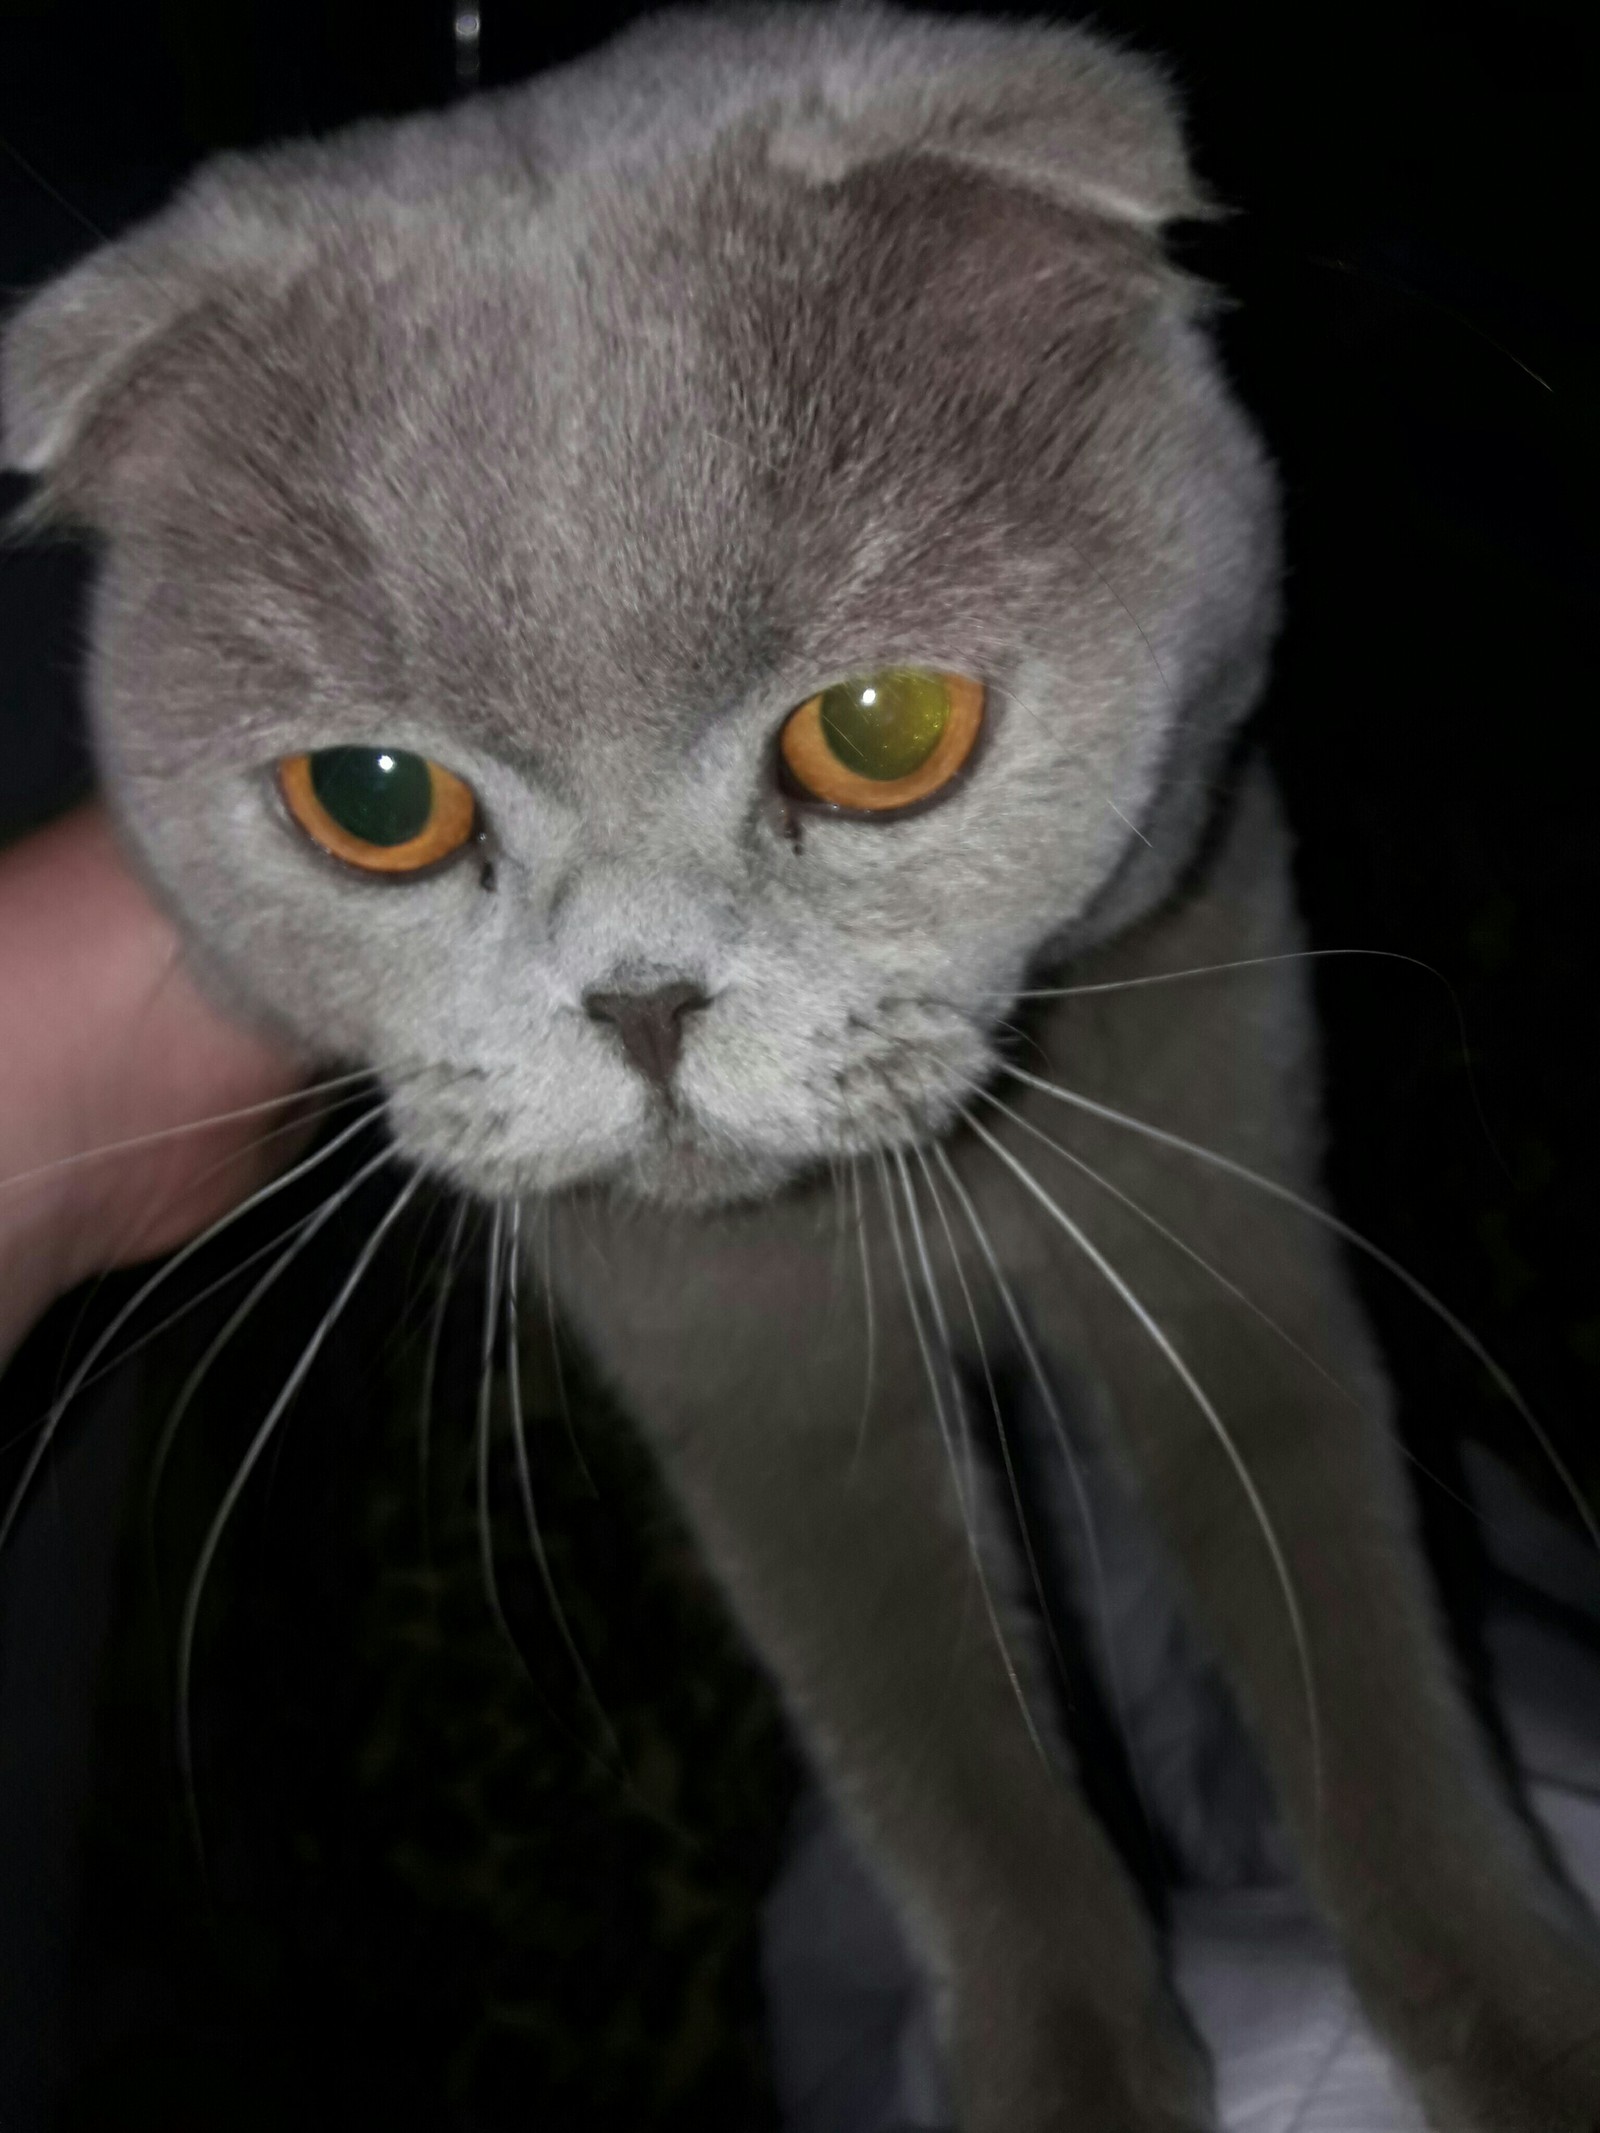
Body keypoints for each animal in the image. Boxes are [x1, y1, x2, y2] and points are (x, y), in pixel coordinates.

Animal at [3, 8, 1600, 2124]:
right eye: (378, 798)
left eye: (885, 726)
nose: (644, 1001)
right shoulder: (752, 1383)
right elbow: (941, 1755)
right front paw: (1072, 2079)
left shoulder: (1221, 1132)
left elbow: (1350, 1626)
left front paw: (1528, 2026)